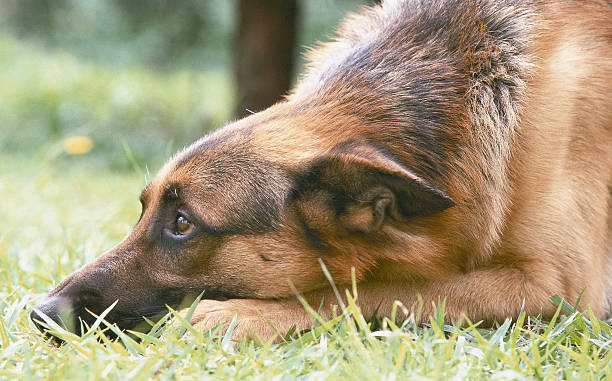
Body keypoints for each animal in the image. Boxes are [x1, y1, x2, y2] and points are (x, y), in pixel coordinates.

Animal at [32, 0, 612, 342]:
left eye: (182, 223)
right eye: (143, 211)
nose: (41, 312)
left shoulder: (554, 290)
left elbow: (382, 290)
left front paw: (247, 314)